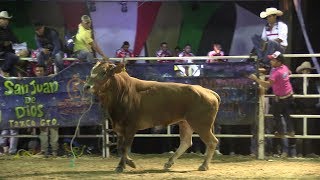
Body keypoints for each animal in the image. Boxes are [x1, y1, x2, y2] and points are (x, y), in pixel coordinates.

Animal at [84, 62, 221, 173]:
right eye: (92, 71)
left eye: (104, 72)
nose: (86, 87)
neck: (122, 91)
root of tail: (208, 91)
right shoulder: (119, 128)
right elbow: (119, 147)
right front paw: (129, 162)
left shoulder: (130, 127)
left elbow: (124, 148)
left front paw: (122, 166)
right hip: (185, 122)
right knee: (186, 142)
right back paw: (169, 163)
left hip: (201, 124)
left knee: (212, 142)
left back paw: (204, 165)